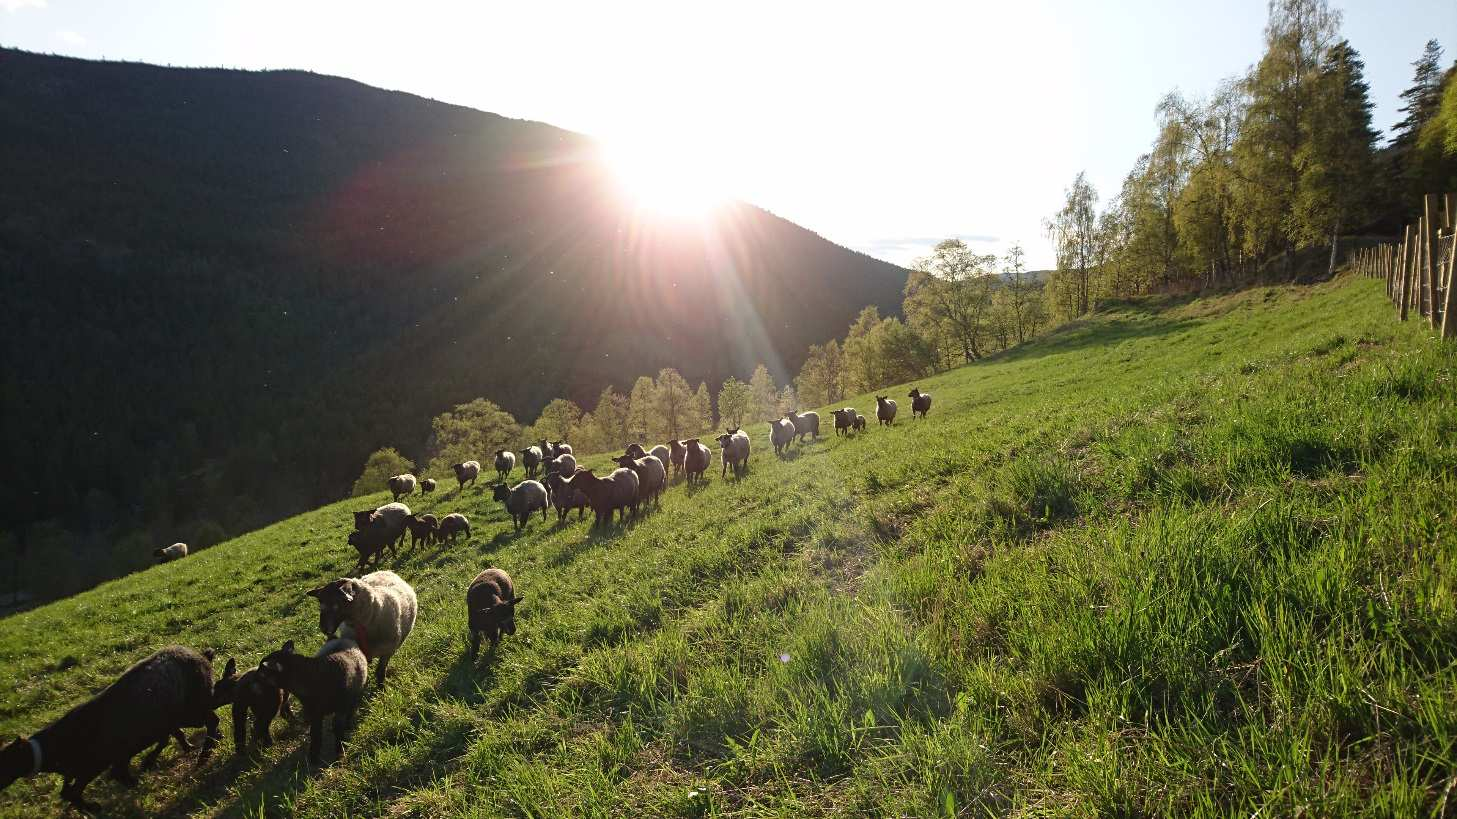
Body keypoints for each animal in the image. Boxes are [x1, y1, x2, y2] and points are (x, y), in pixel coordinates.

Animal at [0, 644, 221, 810]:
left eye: (6, 763)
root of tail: (201, 656)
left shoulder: (93, 766)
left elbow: (77, 791)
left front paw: (94, 807)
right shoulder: (95, 765)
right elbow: (70, 792)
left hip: (191, 709)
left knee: (212, 720)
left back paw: (204, 754)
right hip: (178, 713)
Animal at [253, 635, 364, 763]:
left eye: (262, 671)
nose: (252, 677)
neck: (309, 677)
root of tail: (340, 639)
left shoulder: (339, 709)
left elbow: (338, 730)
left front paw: (339, 753)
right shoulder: (314, 713)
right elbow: (315, 734)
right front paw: (313, 756)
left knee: (351, 709)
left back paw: (349, 725)